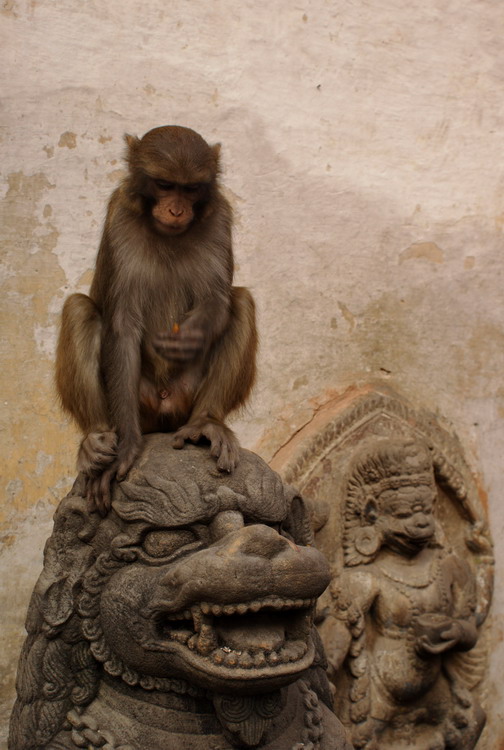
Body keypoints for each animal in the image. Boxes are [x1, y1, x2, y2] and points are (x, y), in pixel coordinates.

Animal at [56, 128, 256, 516]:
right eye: (164, 184)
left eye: (190, 189)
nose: (176, 209)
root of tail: (165, 403)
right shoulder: (119, 216)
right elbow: (122, 323)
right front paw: (128, 448)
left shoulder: (219, 216)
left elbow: (218, 300)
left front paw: (189, 337)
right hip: (140, 402)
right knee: (79, 309)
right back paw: (95, 439)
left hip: (186, 395)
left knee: (241, 302)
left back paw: (206, 423)